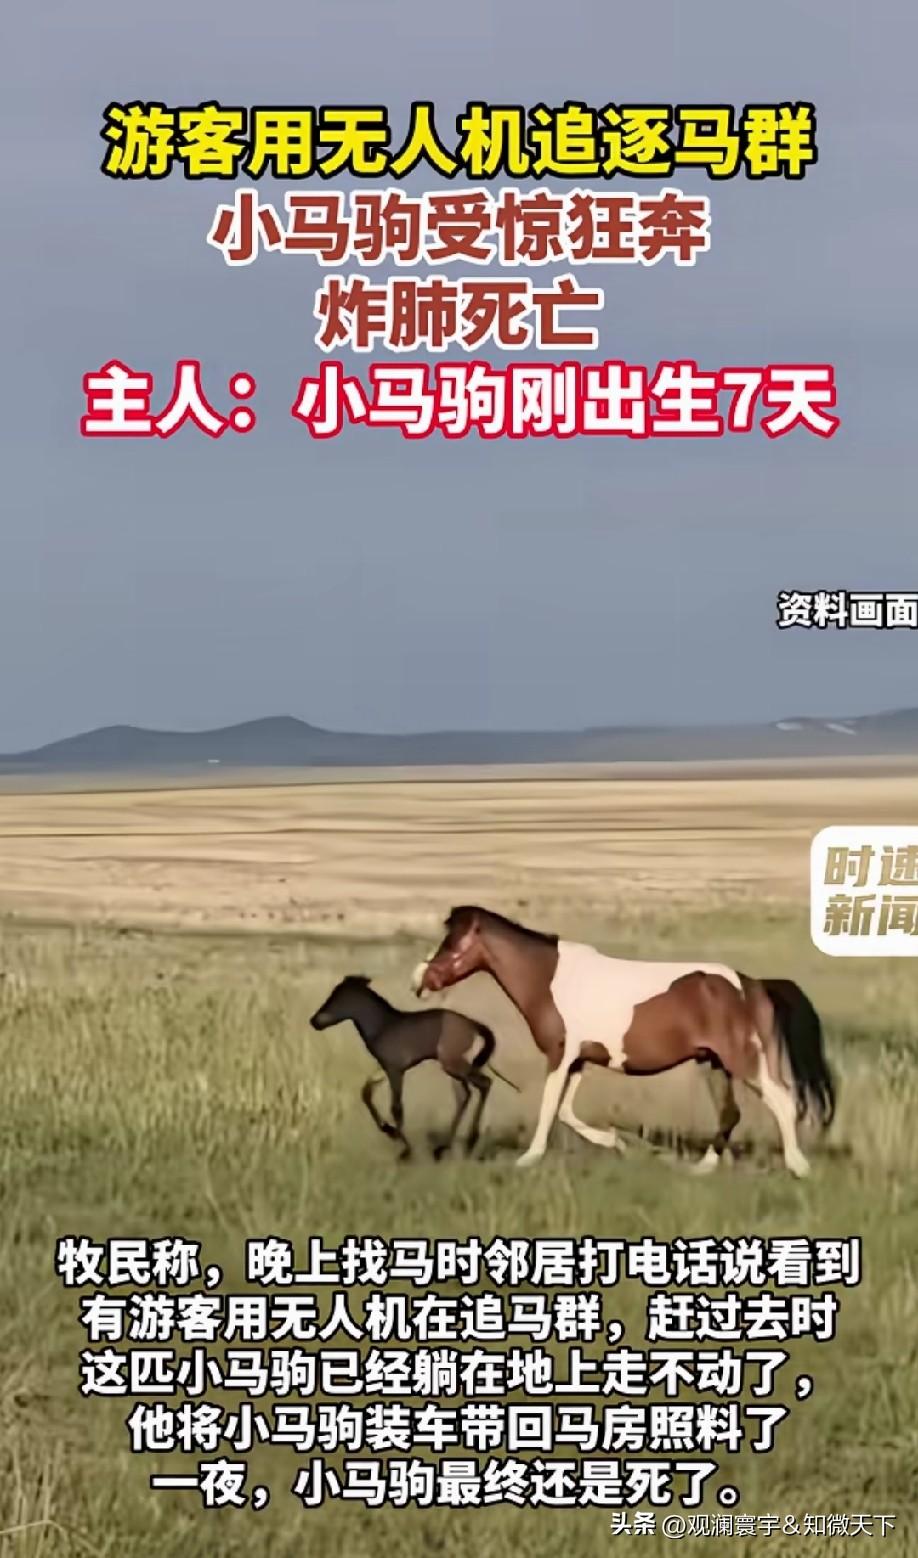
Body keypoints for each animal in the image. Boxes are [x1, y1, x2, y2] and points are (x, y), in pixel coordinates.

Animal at [309, 974, 518, 1162]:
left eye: (338, 997)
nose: (314, 1021)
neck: (383, 1025)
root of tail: (473, 1024)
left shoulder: (396, 1070)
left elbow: (396, 1108)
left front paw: (405, 1150)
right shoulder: (385, 1068)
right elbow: (366, 1092)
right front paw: (389, 1130)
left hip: (453, 1064)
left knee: (483, 1084)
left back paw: (468, 1143)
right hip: (455, 1067)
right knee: (464, 1095)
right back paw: (443, 1148)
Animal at [411, 907, 836, 1179]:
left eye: (451, 943)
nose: (420, 980)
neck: (552, 979)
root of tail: (752, 984)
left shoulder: (560, 1055)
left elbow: (549, 1107)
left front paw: (529, 1159)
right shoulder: (579, 1060)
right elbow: (565, 1110)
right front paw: (616, 1142)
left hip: (742, 1059)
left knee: (781, 1100)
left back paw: (798, 1166)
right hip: (713, 1062)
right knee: (731, 1114)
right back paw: (703, 1167)